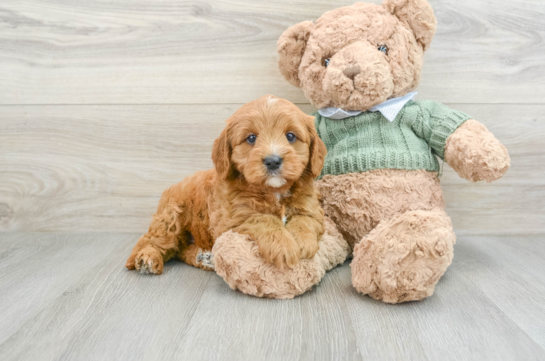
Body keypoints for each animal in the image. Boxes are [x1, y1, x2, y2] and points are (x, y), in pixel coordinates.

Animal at [125, 95, 326, 272]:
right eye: (251, 138)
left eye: (291, 136)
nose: (273, 161)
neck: (274, 191)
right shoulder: (233, 218)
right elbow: (262, 218)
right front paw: (283, 245)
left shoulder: (311, 207)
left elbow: (305, 219)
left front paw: (302, 242)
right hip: (170, 217)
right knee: (152, 239)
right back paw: (146, 258)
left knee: (179, 250)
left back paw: (204, 258)